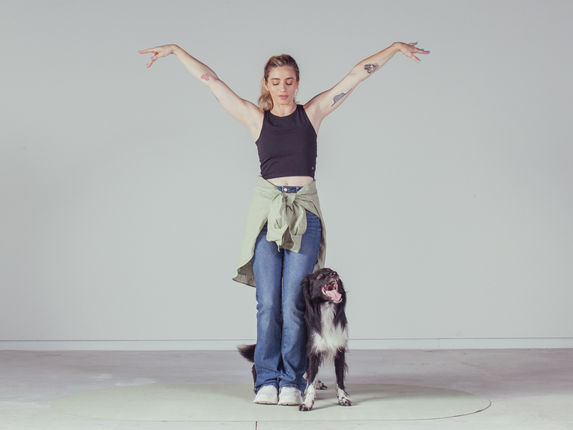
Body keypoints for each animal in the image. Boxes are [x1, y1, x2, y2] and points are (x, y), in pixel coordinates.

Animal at [237, 267, 351, 411]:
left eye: (333, 271)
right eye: (320, 276)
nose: (334, 274)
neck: (325, 309)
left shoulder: (338, 349)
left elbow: (339, 378)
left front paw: (343, 398)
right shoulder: (313, 350)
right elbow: (311, 381)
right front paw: (308, 402)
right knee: (257, 365)